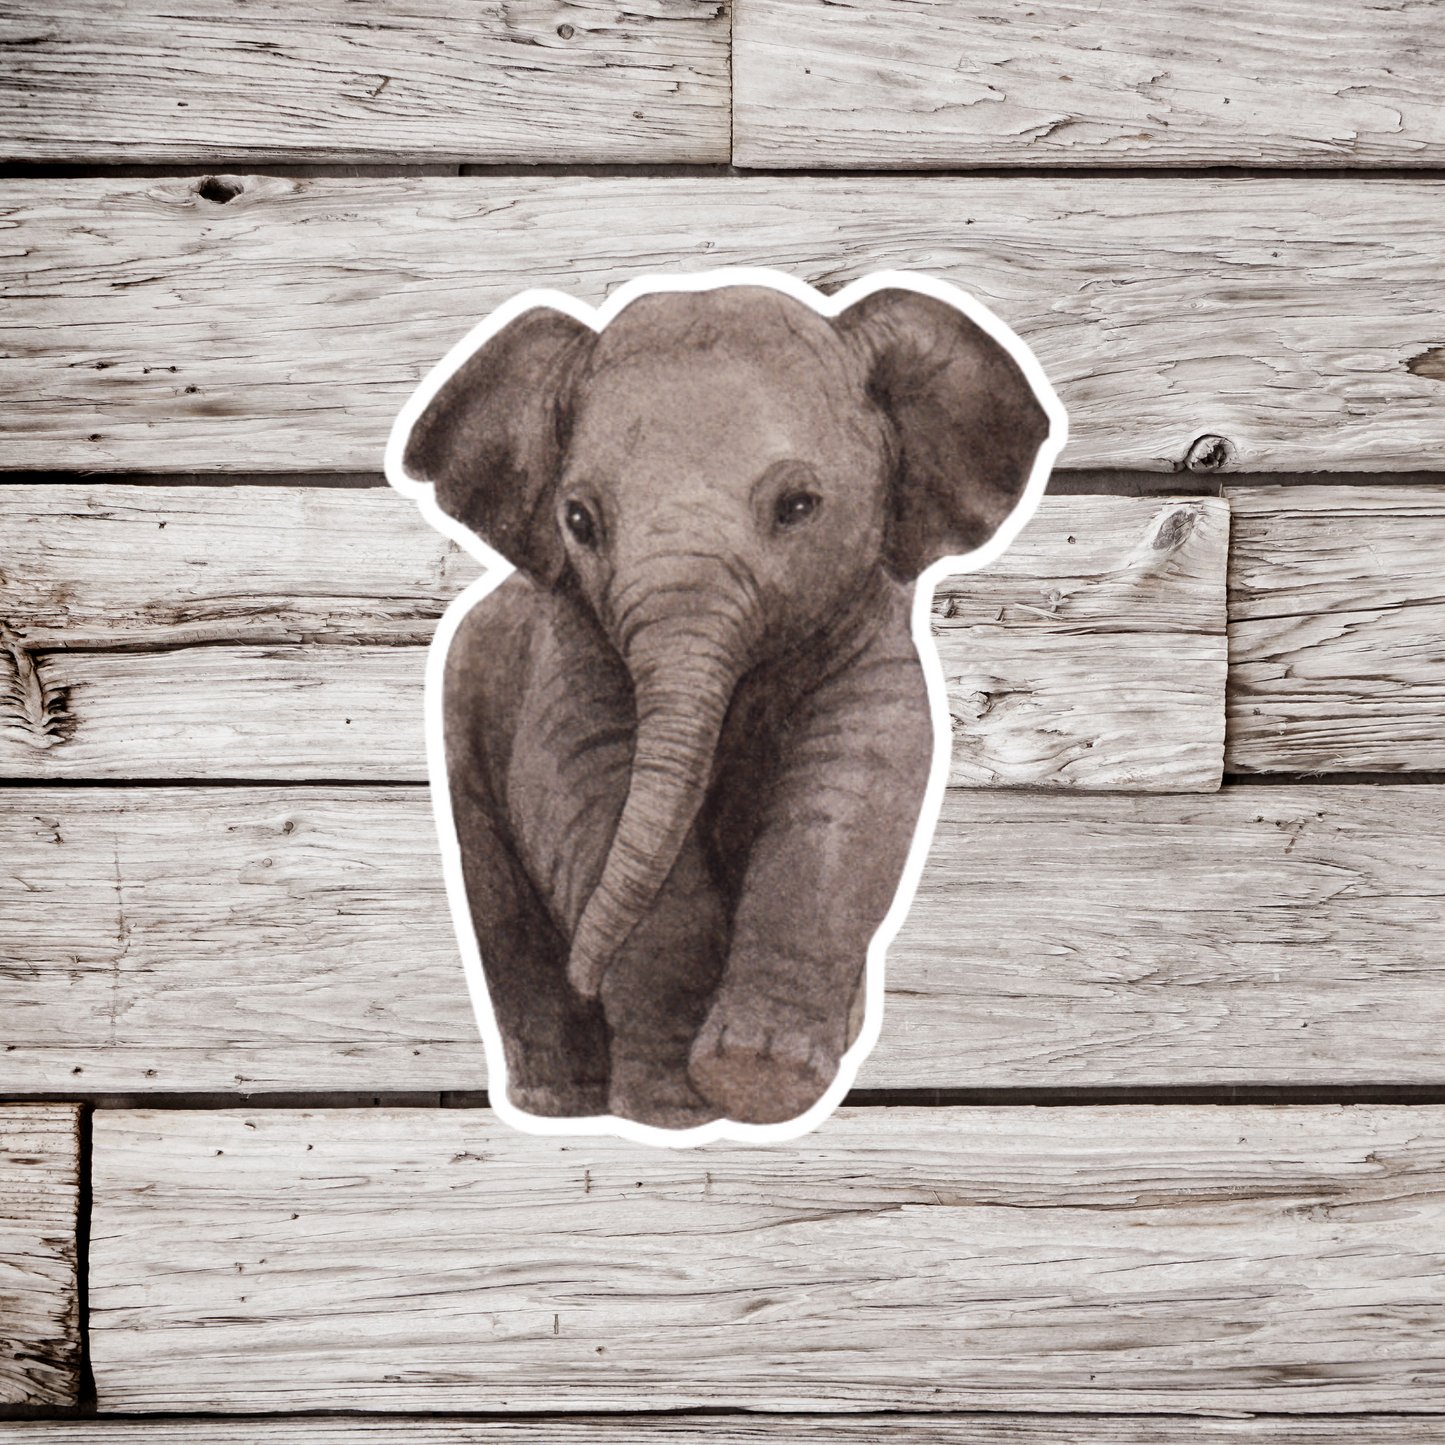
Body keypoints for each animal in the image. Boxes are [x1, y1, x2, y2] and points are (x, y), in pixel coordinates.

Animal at [397, 276, 1054, 1134]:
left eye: (799, 505)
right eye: (577, 520)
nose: (585, 972)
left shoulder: (869, 636)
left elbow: (851, 790)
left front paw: (757, 1078)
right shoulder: (568, 648)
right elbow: (588, 796)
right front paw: (676, 1111)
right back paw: (564, 1102)